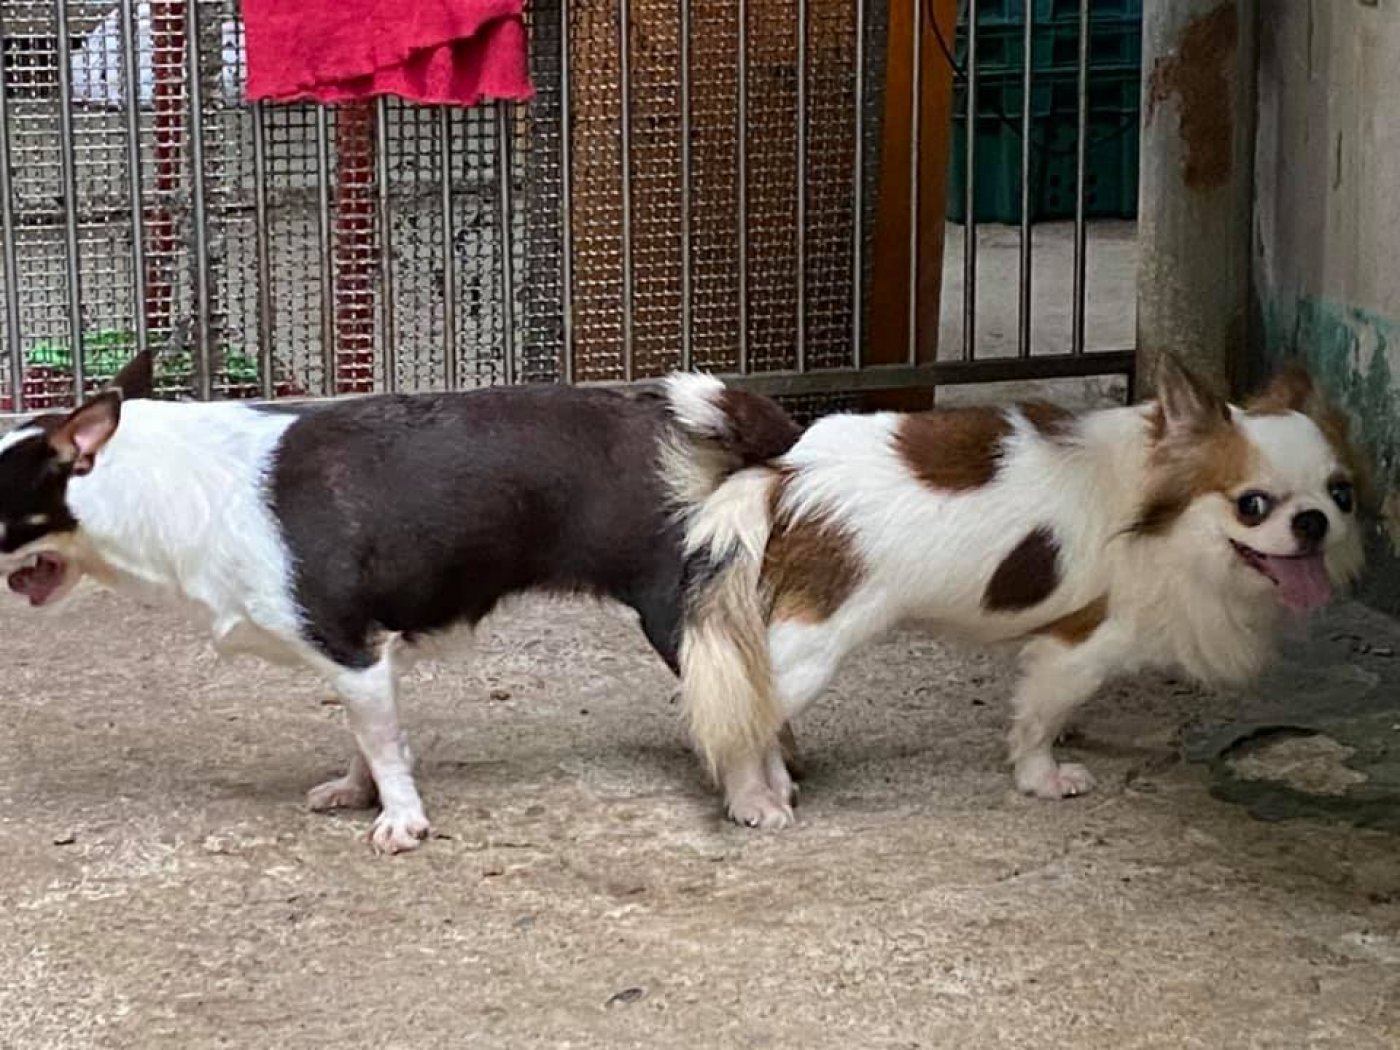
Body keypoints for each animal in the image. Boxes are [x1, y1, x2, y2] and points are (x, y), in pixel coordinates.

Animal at [0, 351, 799, 852]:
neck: (151, 482)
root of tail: (691, 425)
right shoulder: (362, 658)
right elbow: (366, 736)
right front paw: (360, 793)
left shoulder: (348, 649)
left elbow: (382, 747)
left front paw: (402, 821)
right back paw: (780, 789)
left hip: (679, 613)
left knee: (737, 702)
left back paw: (753, 800)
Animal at [662, 356, 1367, 828]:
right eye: (1253, 505)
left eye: (1342, 494)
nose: (1313, 522)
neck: (1160, 515)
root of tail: (786, 470)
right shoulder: (1081, 645)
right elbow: (1040, 717)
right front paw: (1042, 777)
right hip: (813, 648)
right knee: (744, 720)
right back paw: (753, 798)